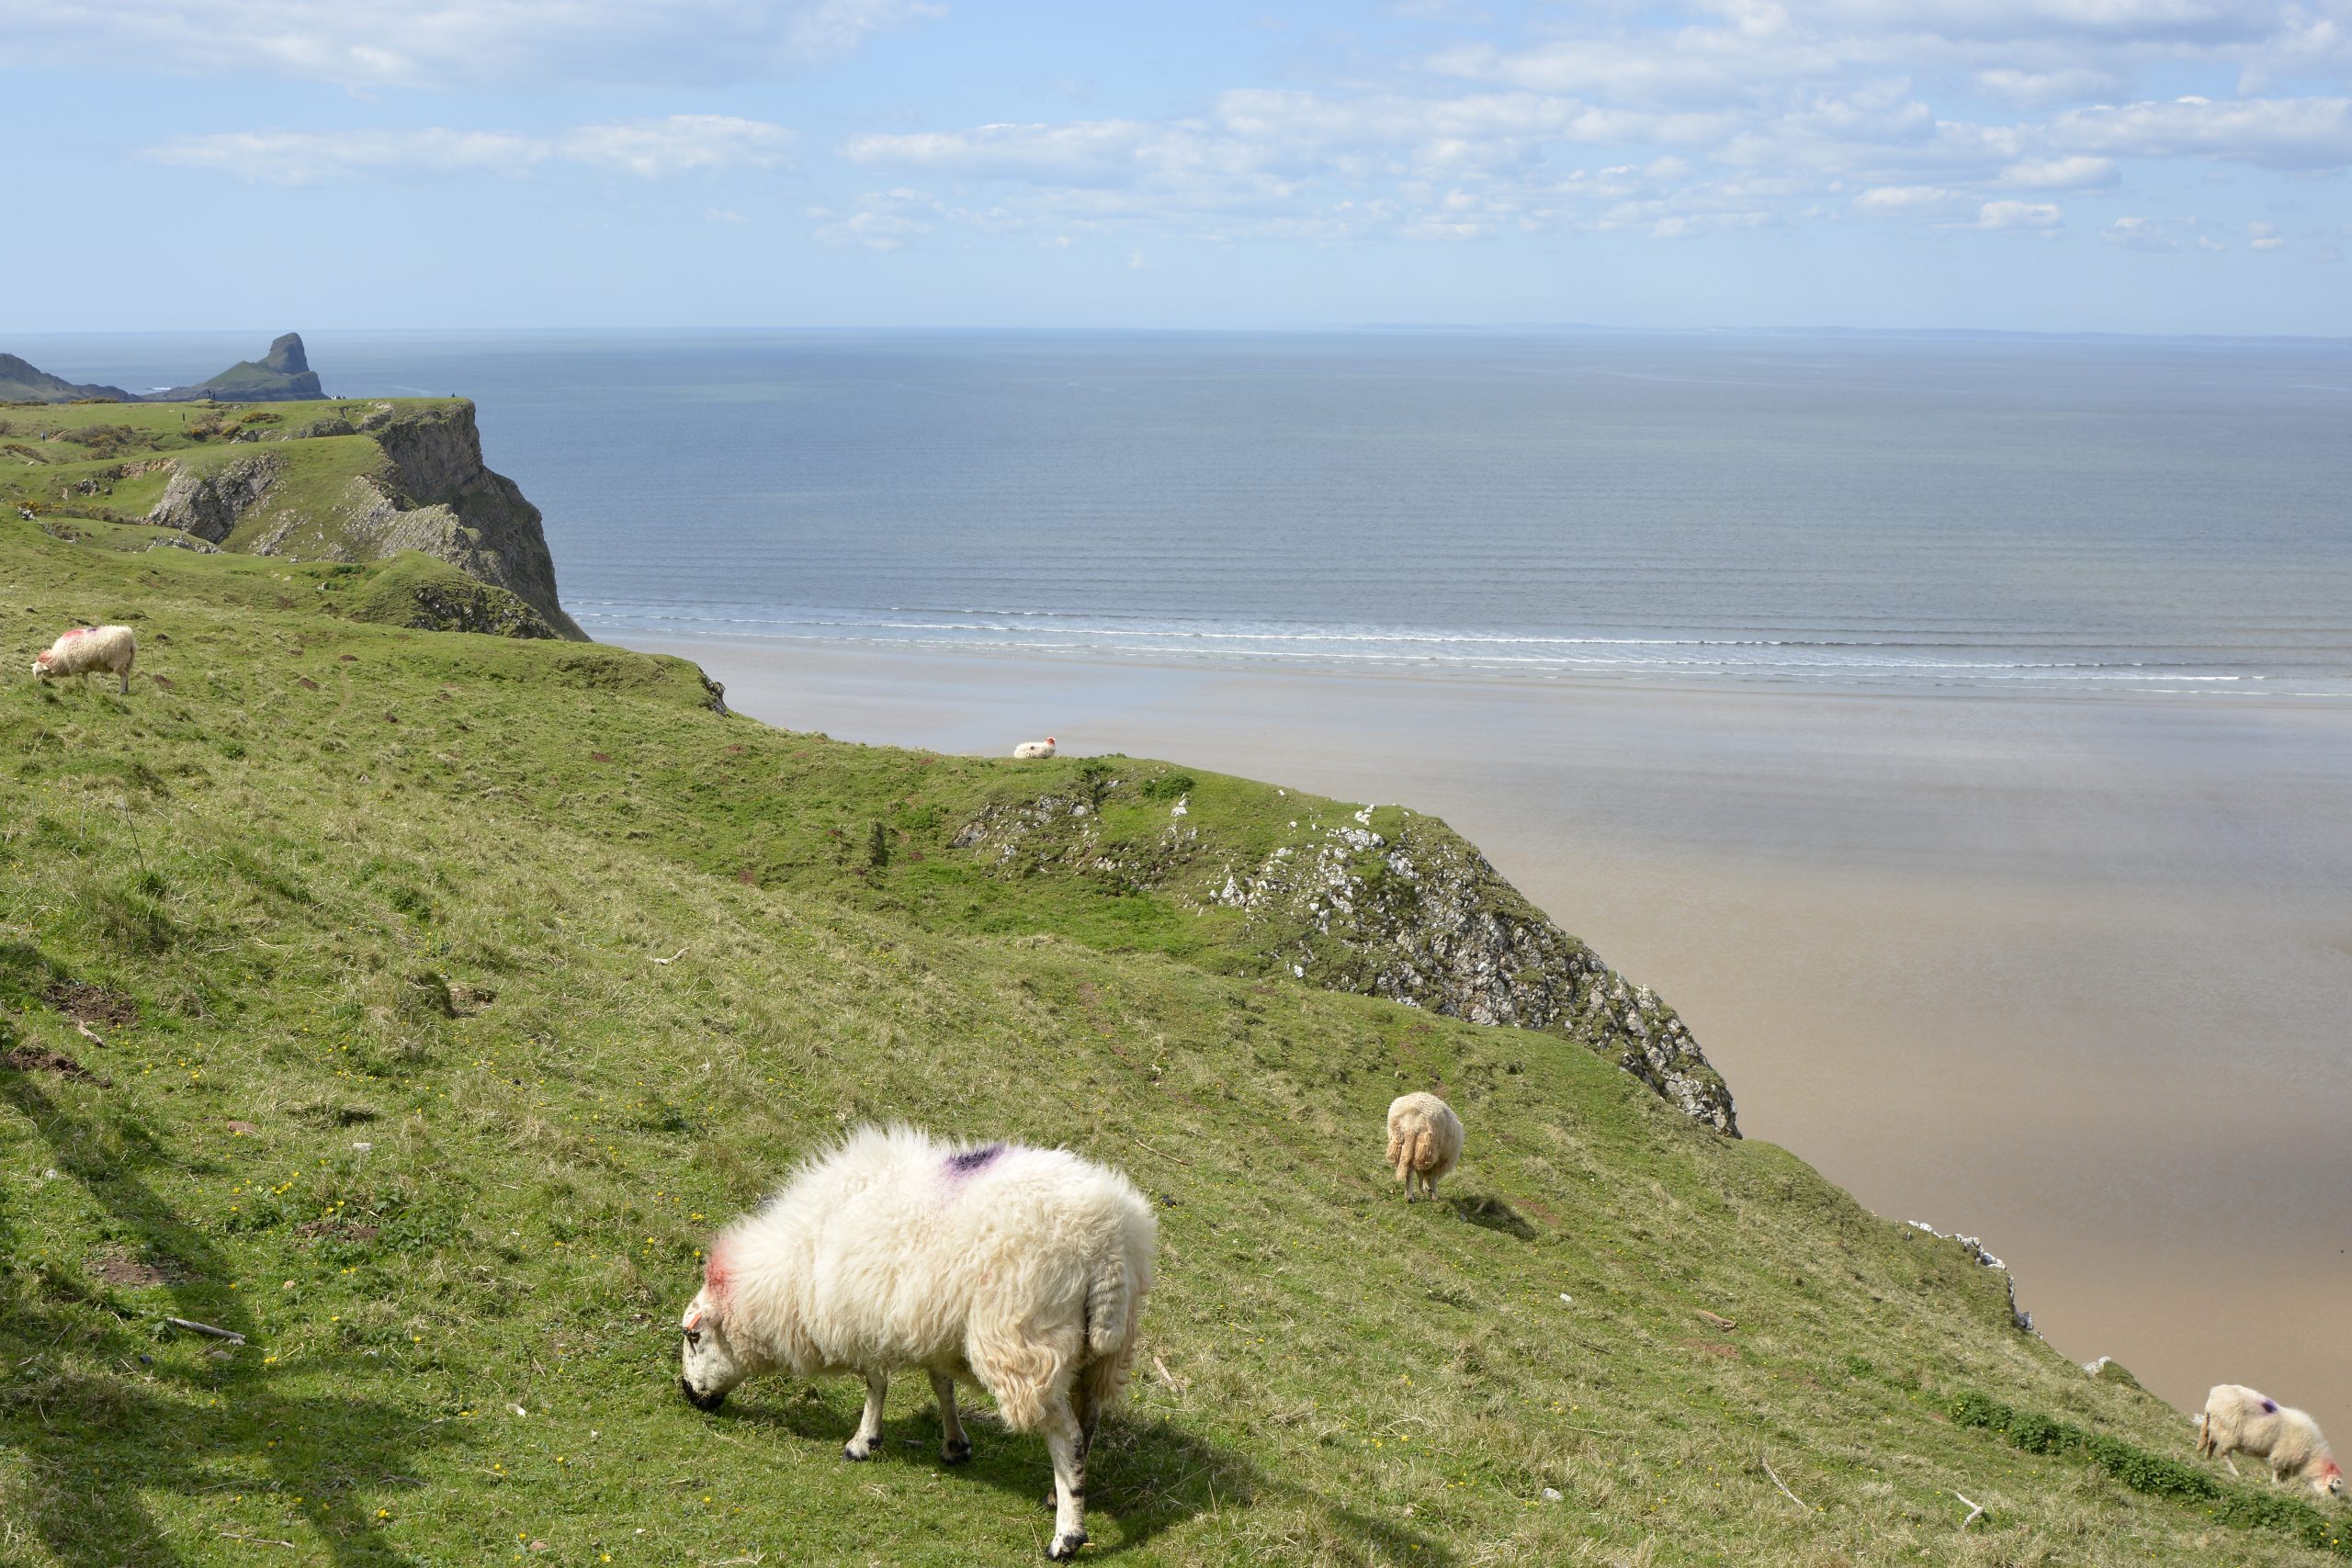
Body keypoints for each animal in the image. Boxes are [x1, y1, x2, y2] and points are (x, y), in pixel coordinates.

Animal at [682, 1128, 1157, 1561]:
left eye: (693, 1336)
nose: (688, 1395)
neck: (796, 1266)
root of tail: (1107, 1244)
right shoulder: (932, 1325)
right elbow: (941, 1385)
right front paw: (955, 1444)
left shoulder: (867, 1320)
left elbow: (876, 1385)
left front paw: (862, 1442)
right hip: (1102, 1353)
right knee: (1088, 1420)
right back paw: (1062, 1493)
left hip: (1023, 1344)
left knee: (1066, 1434)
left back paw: (1067, 1537)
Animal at [2191, 1382, 2342, 1495]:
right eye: (2333, 1489)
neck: (2311, 1457)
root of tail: (2215, 1393)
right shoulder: (2282, 1455)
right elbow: (2277, 1470)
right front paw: (2275, 1484)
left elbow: (2283, 1475)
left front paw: (2282, 1485)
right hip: (2228, 1432)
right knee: (2224, 1453)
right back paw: (2235, 1473)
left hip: (2217, 1425)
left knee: (2211, 1442)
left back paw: (2208, 1459)